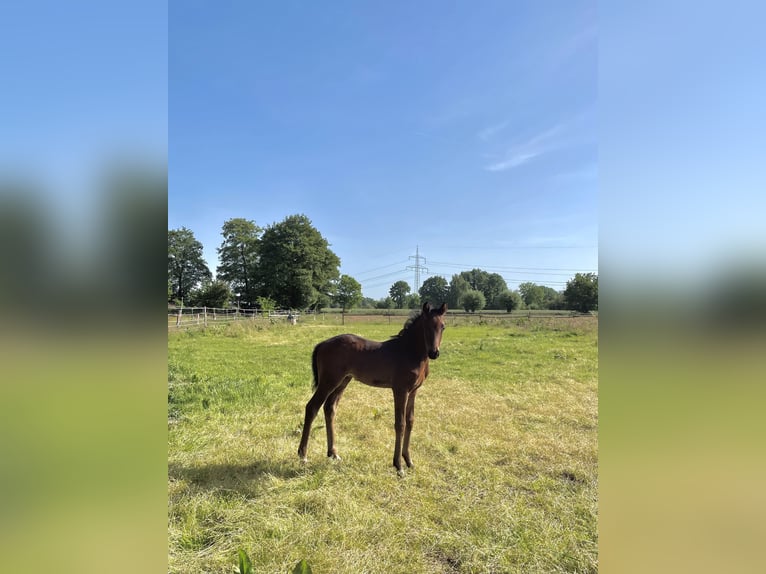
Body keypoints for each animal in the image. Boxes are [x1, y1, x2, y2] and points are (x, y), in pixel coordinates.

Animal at [297, 302, 447, 474]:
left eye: (443, 326)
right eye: (426, 326)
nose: (434, 353)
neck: (409, 352)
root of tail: (322, 344)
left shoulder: (413, 391)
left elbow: (410, 421)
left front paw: (409, 461)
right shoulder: (400, 390)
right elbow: (400, 424)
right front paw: (398, 466)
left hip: (343, 381)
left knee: (330, 408)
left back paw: (333, 453)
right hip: (329, 381)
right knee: (312, 407)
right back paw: (303, 455)